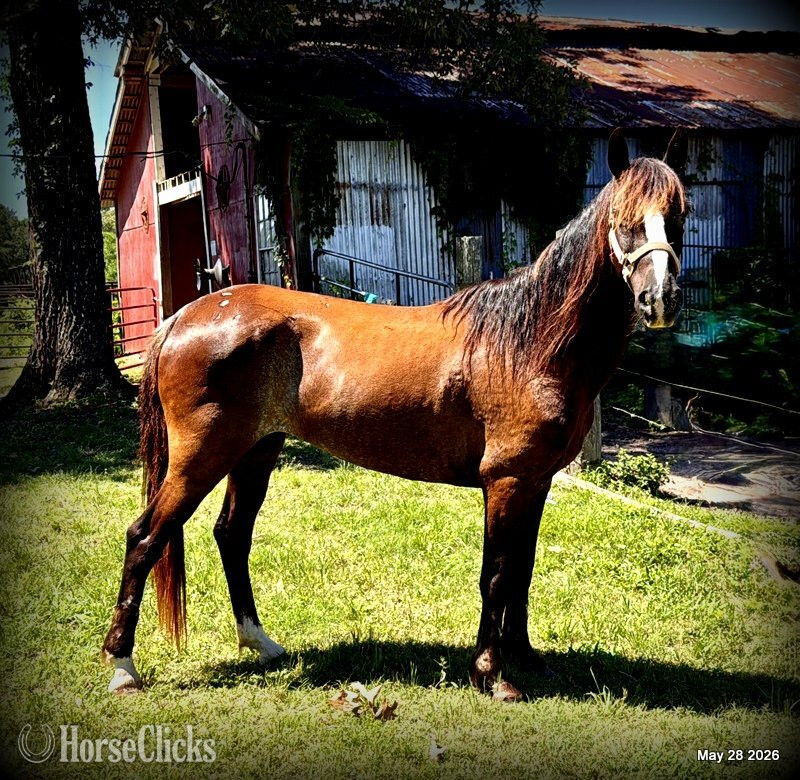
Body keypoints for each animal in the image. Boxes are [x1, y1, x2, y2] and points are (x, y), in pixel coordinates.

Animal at [102, 131, 687, 701]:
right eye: (626, 220)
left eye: (677, 217)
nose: (660, 300)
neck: (528, 343)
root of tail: (184, 316)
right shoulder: (507, 480)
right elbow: (497, 575)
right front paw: (492, 675)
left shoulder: (535, 481)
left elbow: (521, 570)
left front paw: (525, 658)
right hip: (201, 456)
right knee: (145, 538)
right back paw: (123, 667)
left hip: (256, 451)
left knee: (232, 534)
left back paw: (261, 644)